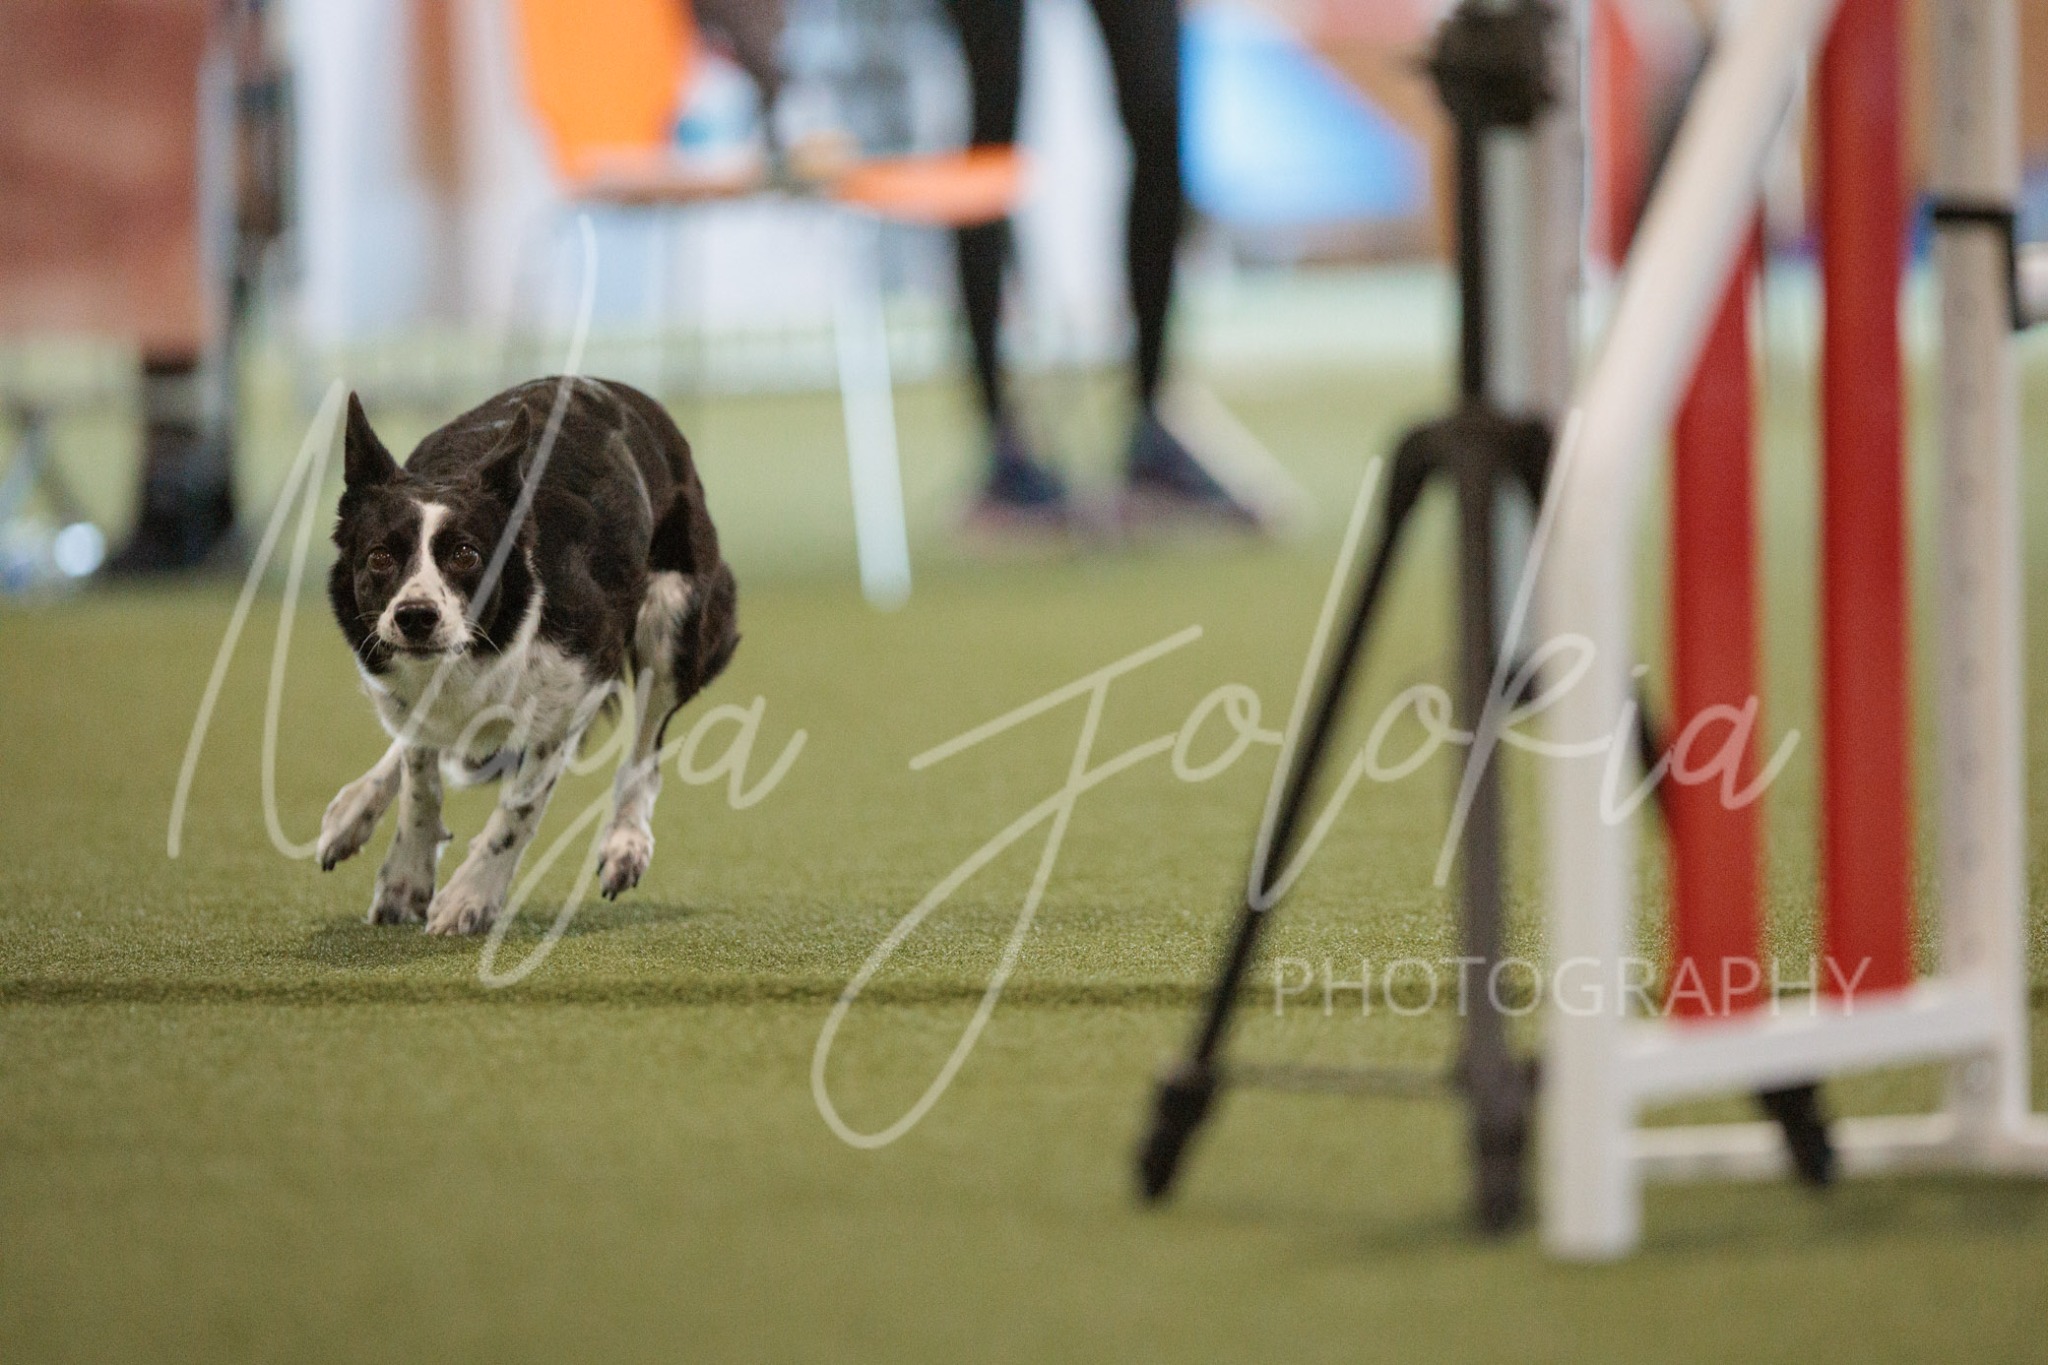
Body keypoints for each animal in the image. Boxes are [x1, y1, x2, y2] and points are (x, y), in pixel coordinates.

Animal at [316, 376, 738, 934]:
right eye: (380, 558)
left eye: (467, 555)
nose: (415, 616)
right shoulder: (412, 690)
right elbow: (420, 779)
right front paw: (407, 877)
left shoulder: (579, 679)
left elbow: (519, 807)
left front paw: (470, 897)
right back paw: (354, 809)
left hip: (675, 614)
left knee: (645, 750)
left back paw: (625, 842)